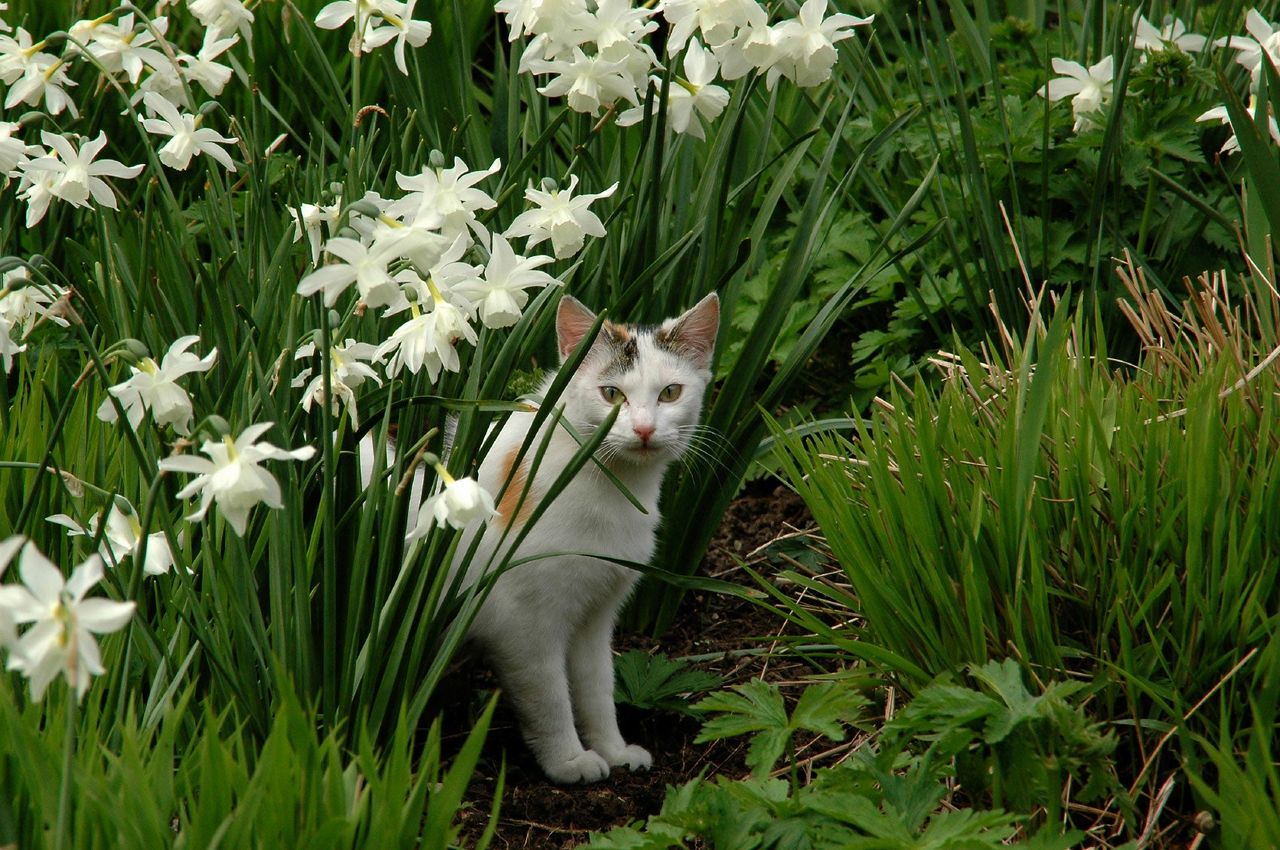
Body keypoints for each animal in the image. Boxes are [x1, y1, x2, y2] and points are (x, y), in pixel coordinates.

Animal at [453, 291, 721, 783]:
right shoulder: (521, 623)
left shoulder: (596, 615)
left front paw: (613, 751)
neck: (612, 490)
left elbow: (598, 688)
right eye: (611, 394)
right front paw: (569, 761)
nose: (643, 429)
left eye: (670, 393)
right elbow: (549, 697)